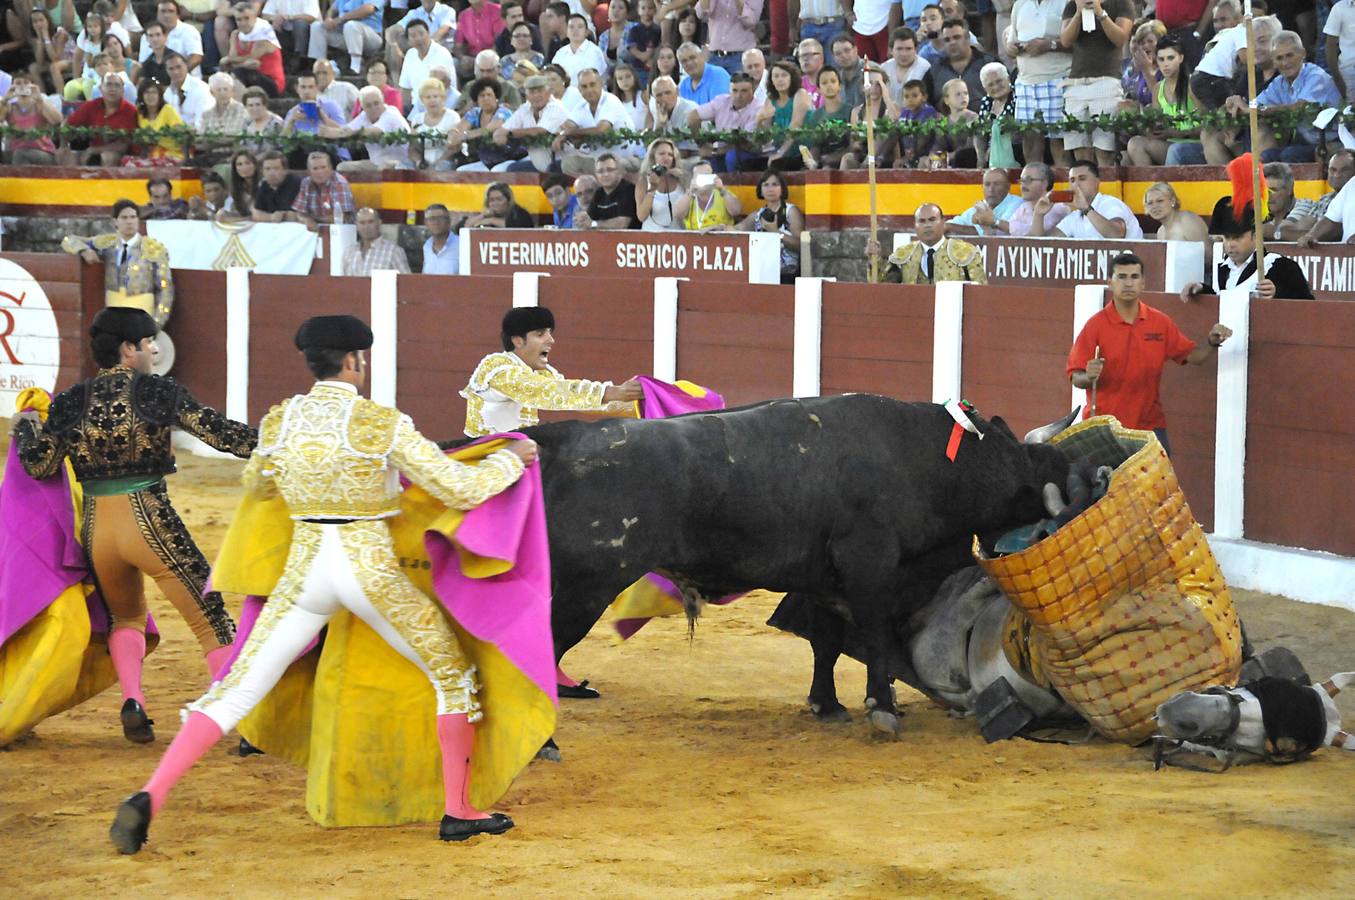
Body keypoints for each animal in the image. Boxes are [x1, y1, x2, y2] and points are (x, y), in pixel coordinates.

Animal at [449, 393, 1062, 731]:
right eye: (1013, 457)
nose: (1056, 470)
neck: (922, 458)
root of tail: (564, 437)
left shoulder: (825, 577)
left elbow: (826, 641)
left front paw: (827, 705)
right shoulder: (870, 567)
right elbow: (876, 639)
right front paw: (882, 708)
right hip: (582, 589)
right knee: (542, 648)